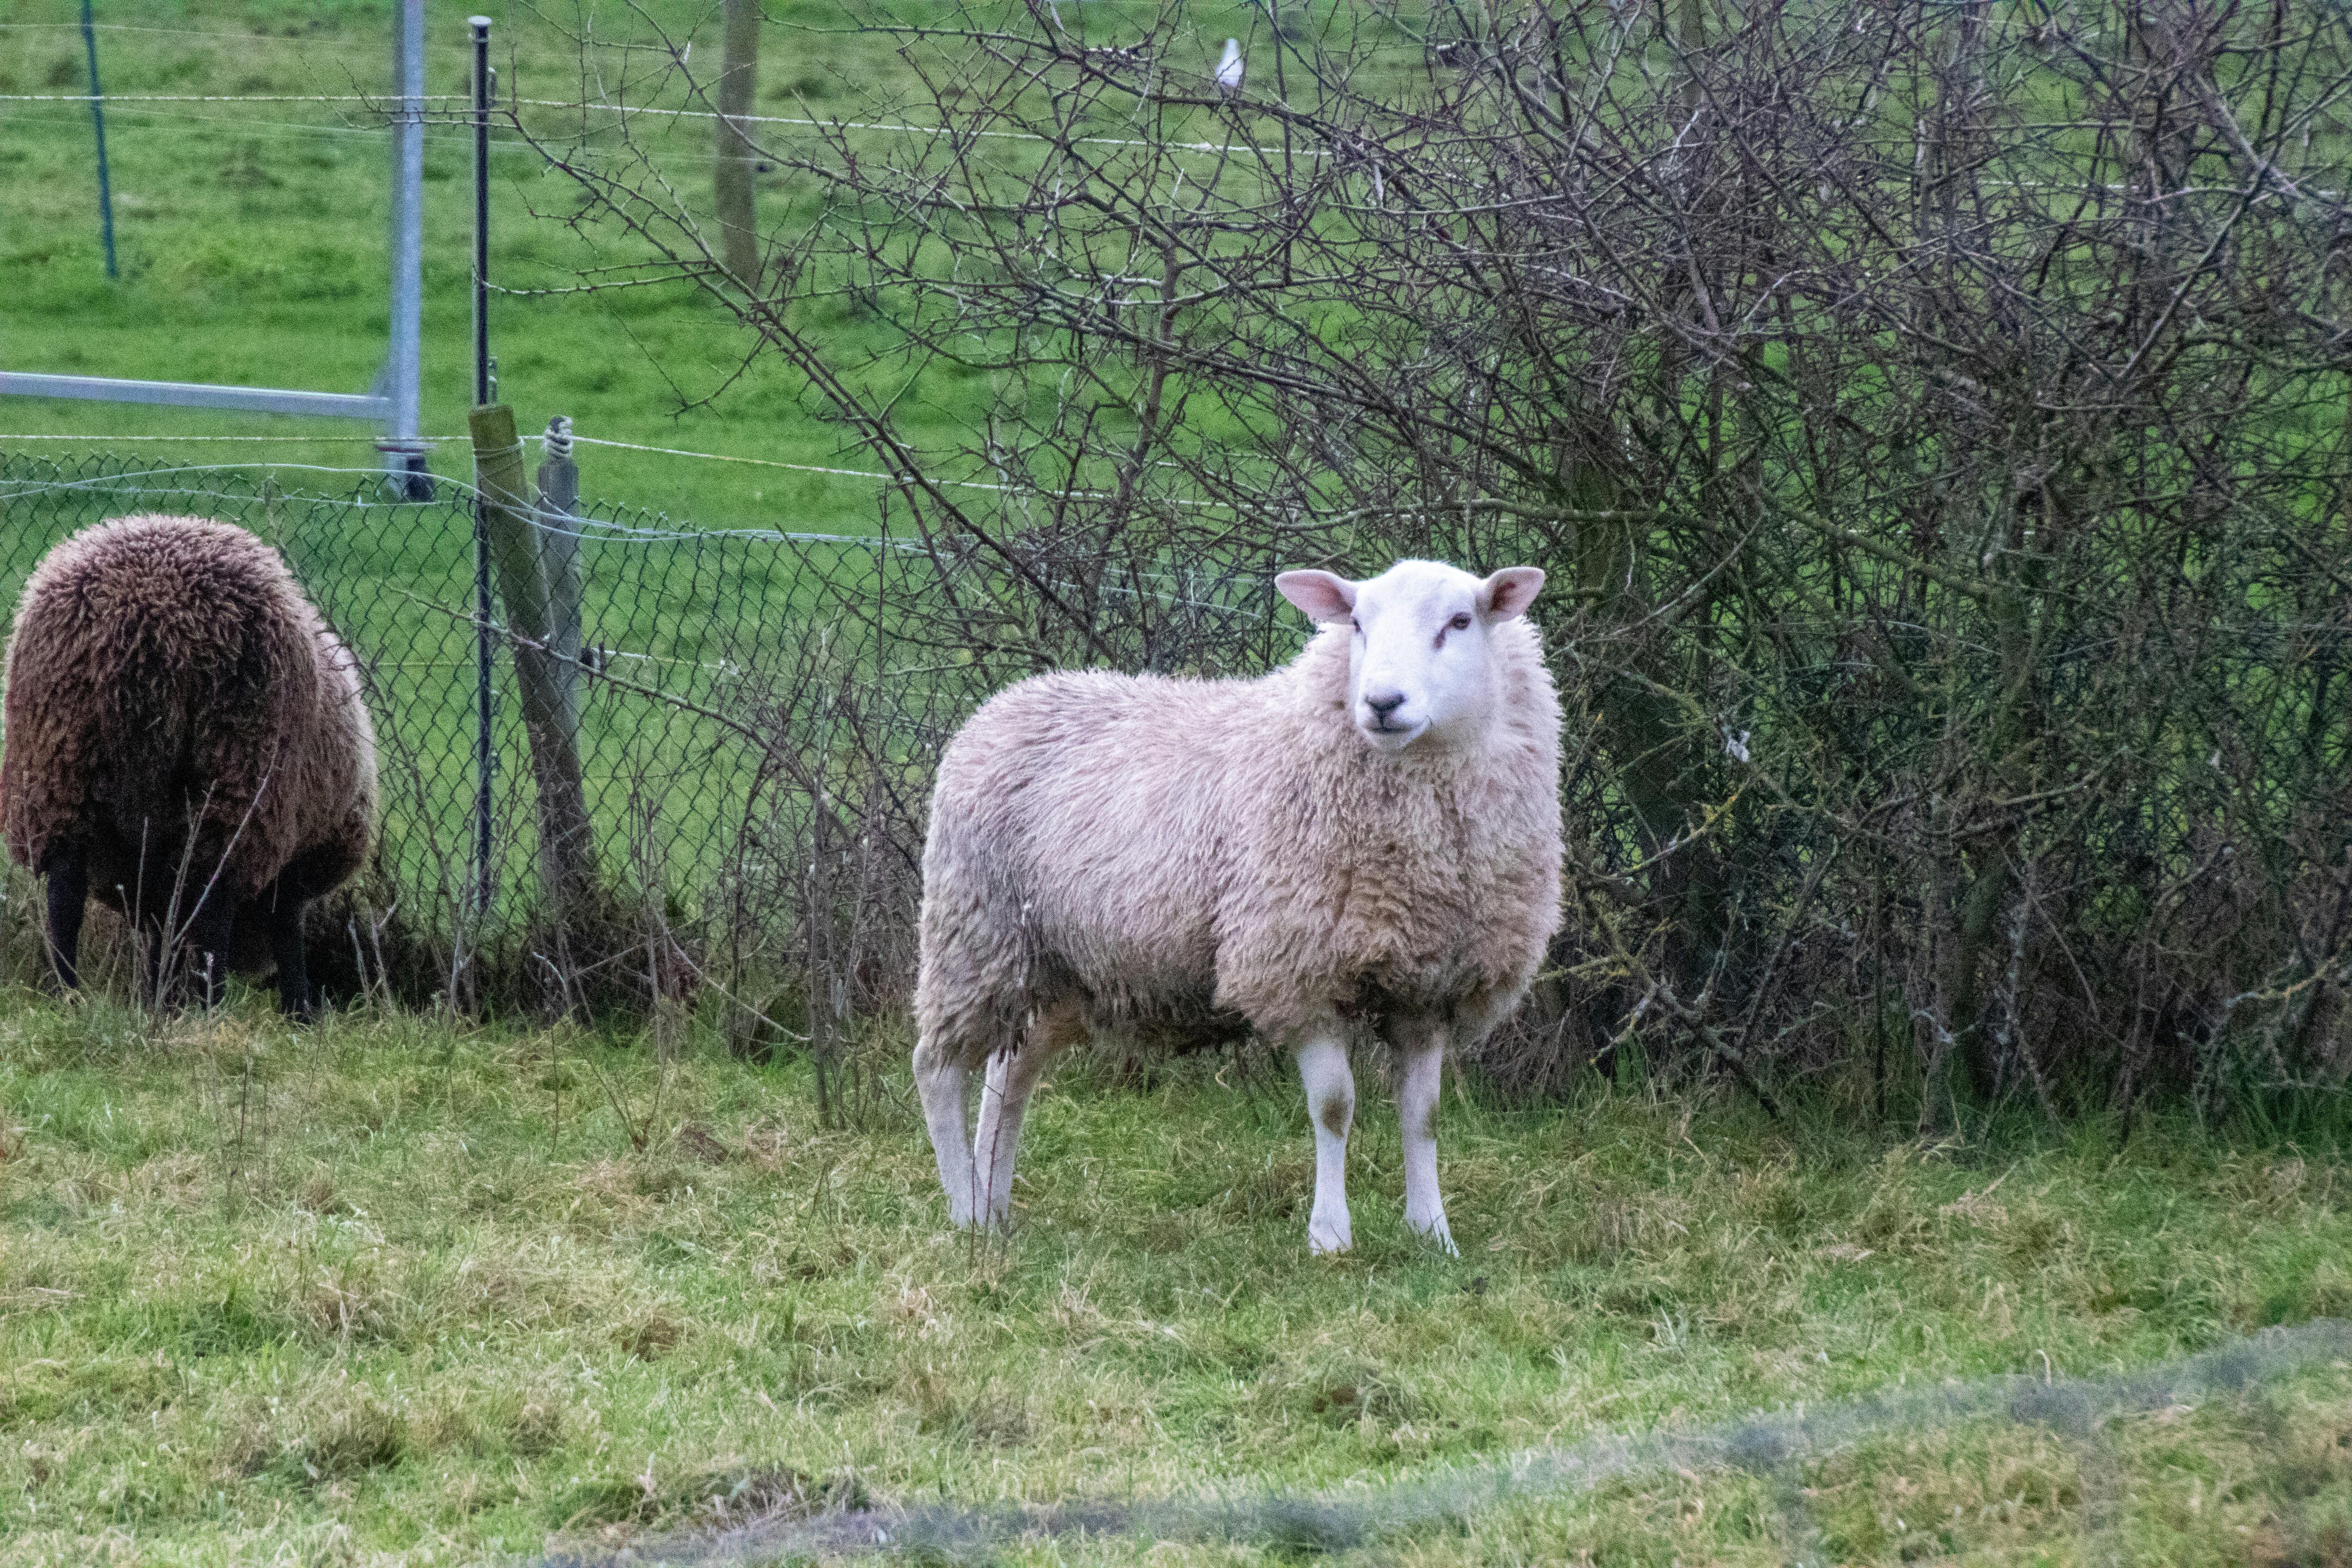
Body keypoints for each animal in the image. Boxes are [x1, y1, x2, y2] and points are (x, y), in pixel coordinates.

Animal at [1, 514, 378, 1018]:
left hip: (59, 769)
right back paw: (210, 1006)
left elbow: (163, 930)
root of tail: (143, 622)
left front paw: (158, 999)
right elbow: (287, 930)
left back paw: (65, 995)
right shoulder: (288, 854)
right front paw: (300, 1010)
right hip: (237, 777)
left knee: (65, 893)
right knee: (212, 906)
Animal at [912, 558, 1562, 1254]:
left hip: (1061, 970)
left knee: (1010, 1077)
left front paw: (1433, 1235)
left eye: (1460, 622)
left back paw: (994, 1210)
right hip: (974, 934)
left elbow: (1425, 1117)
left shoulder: (1428, 987)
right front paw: (1330, 1237)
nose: (1383, 704)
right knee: (938, 1070)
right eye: (1357, 624)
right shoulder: (1296, 971)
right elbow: (1335, 1108)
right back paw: (963, 1211)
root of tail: (1004, 701)